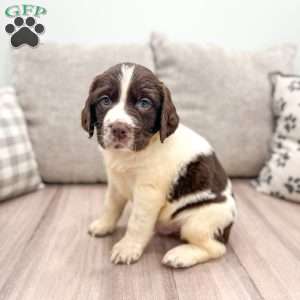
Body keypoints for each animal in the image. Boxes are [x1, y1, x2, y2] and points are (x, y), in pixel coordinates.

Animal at [82, 62, 237, 268]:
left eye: (144, 103)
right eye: (105, 100)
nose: (119, 129)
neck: (130, 155)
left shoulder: (149, 193)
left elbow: (137, 222)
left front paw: (127, 248)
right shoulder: (116, 182)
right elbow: (111, 205)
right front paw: (103, 225)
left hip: (200, 221)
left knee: (217, 248)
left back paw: (181, 256)